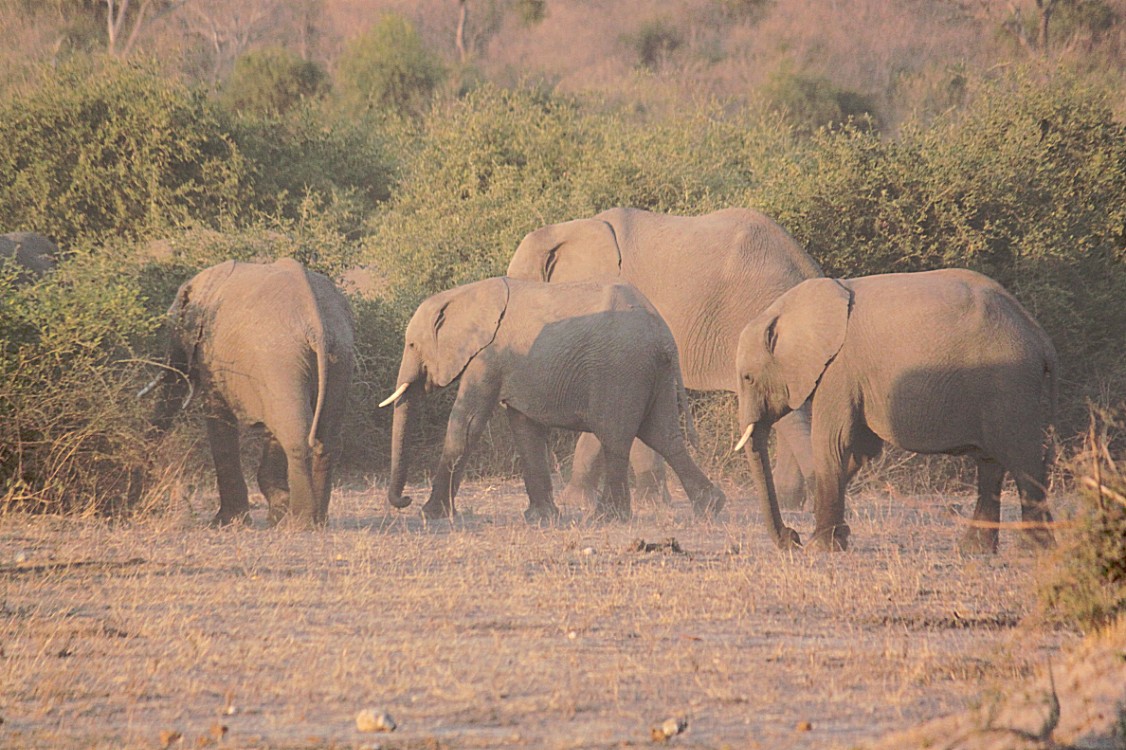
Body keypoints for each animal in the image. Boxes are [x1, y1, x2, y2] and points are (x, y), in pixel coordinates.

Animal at [147, 256, 353, 524]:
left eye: (173, 331)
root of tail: (316, 323)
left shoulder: (213, 355)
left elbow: (218, 416)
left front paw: (226, 521)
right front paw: (277, 511)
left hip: (281, 356)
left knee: (297, 435)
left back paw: (299, 523)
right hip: (338, 355)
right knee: (326, 437)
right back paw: (317, 521)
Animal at [382, 274, 725, 520]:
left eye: (412, 345)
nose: (405, 499)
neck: (463, 294)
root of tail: (664, 336)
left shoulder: (488, 356)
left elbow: (466, 424)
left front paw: (430, 515)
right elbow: (525, 427)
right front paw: (540, 517)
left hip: (622, 369)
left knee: (615, 436)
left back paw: (607, 517)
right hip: (655, 372)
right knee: (663, 435)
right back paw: (711, 506)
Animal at [506, 204, 824, 509]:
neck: (567, 229)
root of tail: (808, 268)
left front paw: (578, 501)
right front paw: (649, 499)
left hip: (754, 314)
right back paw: (790, 501)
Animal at [734, 266, 1058, 549]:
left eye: (748, 378)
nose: (792, 538)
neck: (788, 309)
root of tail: (1040, 337)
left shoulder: (839, 369)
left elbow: (833, 443)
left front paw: (819, 547)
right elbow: (859, 449)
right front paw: (838, 538)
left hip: (1008, 384)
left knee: (1021, 459)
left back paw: (1031, 550)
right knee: (990, 464)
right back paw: (973, 550)